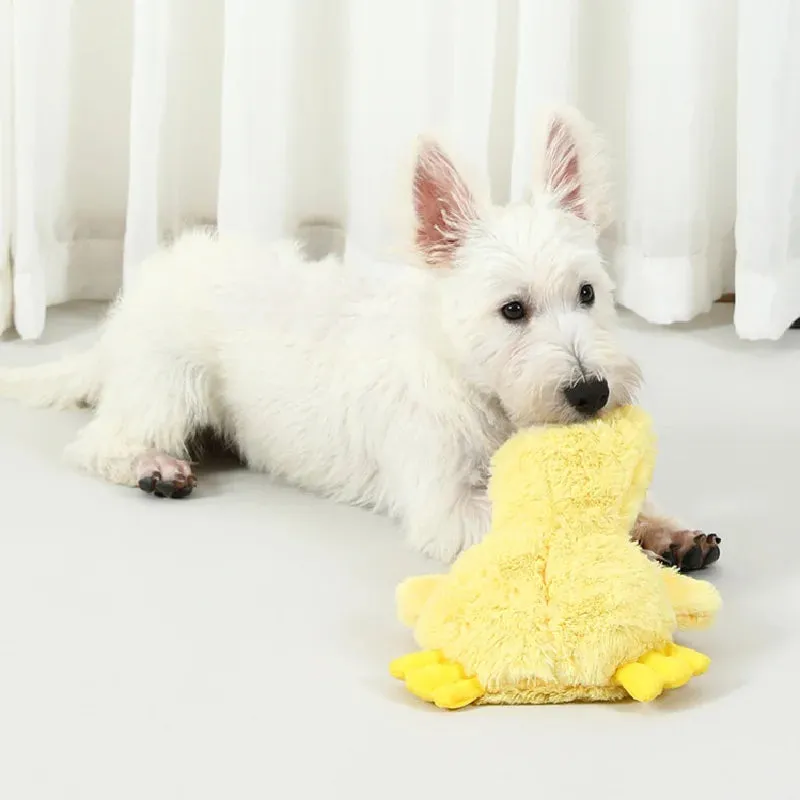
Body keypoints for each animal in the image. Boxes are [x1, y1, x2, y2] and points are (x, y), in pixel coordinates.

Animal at [0, 108, 720, 568]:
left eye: (588, 294)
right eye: (513, 310)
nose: (591, 392)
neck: (479, 389)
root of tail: (124, 314)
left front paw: (666, 531)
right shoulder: (445, 503)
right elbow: (555, 523)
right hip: (171, 386)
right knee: (99, 443)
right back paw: (155, 467)